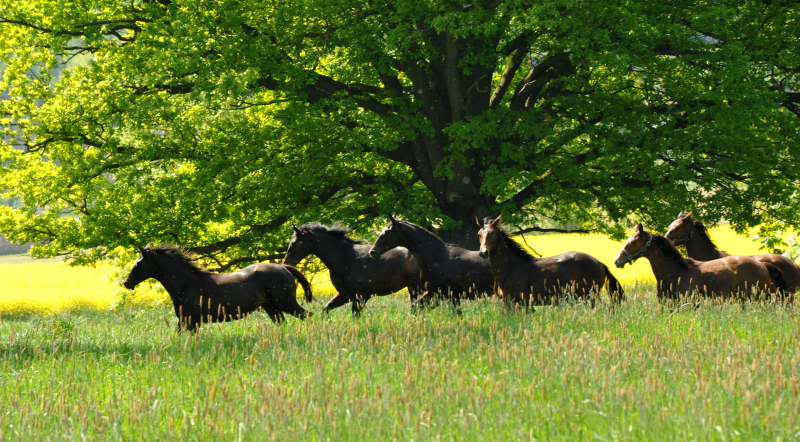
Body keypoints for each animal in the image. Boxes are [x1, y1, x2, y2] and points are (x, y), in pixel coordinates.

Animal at [124, 245, 312, 332]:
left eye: (138, 263)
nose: (127, 283)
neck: (186, 283)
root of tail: (285, 267)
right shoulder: (187, 320)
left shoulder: (189, 319)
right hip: (271, 307)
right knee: (283, 324)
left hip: (286, 303)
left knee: (309, 315)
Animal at [284, 224, 428, 314]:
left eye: (294, 243)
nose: (286, 262)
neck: (345, 257)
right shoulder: (345, 295)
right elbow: (326, 309)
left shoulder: (361, 296)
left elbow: (355, 316)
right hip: (413, 288)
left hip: (419, 288)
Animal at [478, 216, 620, 310]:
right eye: (479, 233)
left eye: (492, 233)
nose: (483, 252)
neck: (511, 268)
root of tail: (600, 263)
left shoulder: (514, 302)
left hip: (588, 296)